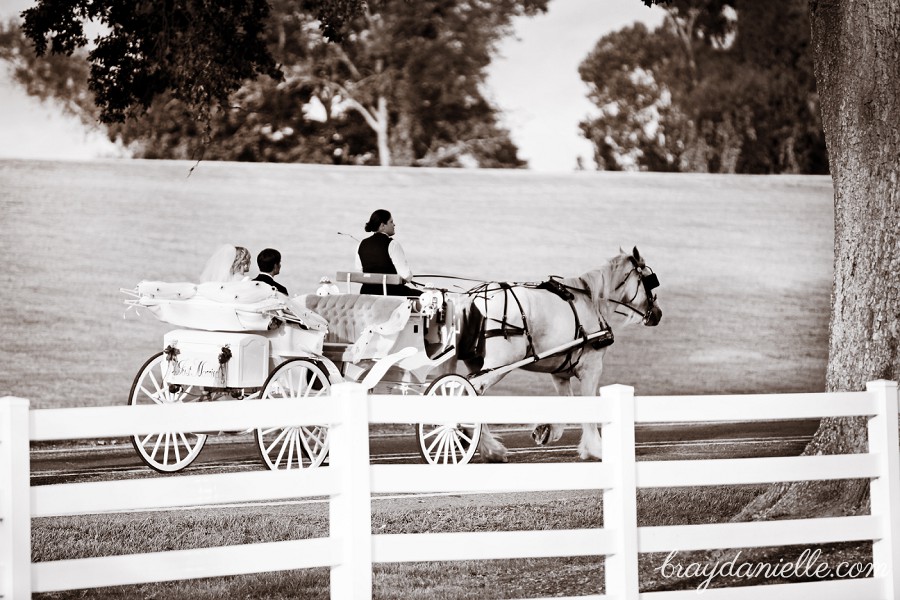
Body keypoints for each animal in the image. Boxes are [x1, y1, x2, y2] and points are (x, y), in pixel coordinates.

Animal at [458, 246, 660, 462]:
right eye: (648, 279)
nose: (658, 314)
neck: (591, 302)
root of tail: (474, 298)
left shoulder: (560, 374)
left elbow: (567, 403)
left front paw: (546, 431)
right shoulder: (591, 368)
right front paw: (596, 449)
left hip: (478, 363)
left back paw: (489, 449)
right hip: (498, 365)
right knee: (470, 390)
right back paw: (488, 448)